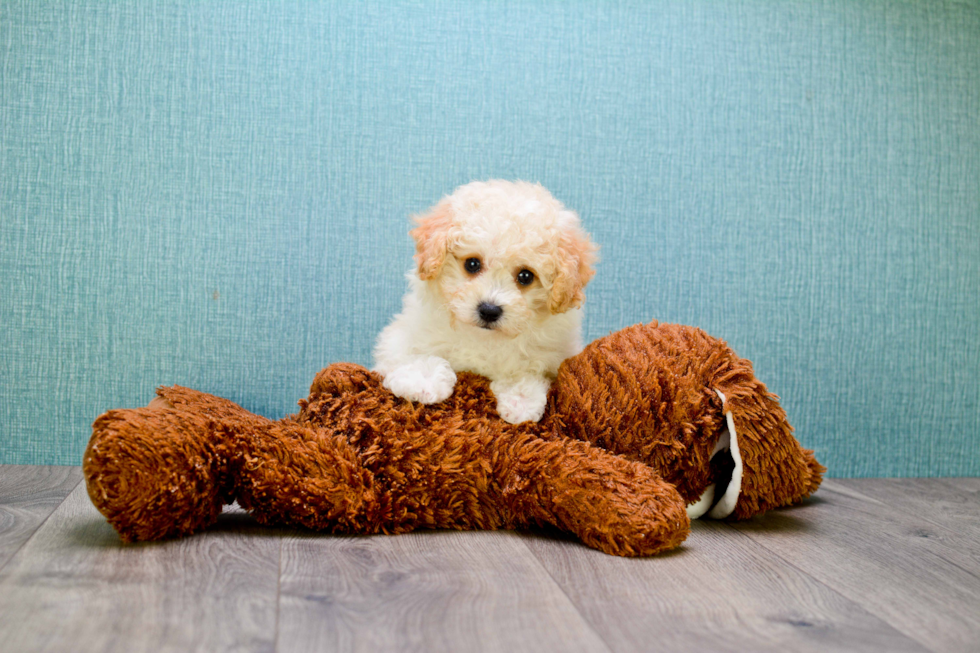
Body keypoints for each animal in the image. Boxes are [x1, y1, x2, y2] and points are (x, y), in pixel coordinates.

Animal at [374, 180, 596, 422]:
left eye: (525, 276)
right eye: (472, 264)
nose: (489, 310)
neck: (482, 338)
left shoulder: (555, 355)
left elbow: (528, 368)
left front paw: (521, 400)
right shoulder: (403, 333)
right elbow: (407, 353)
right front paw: (422, 379)